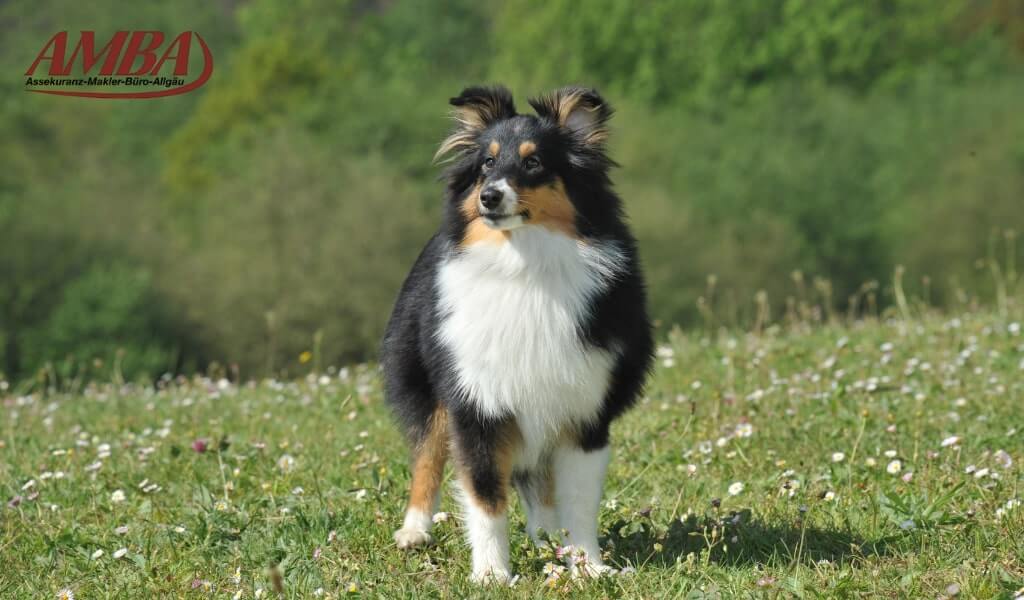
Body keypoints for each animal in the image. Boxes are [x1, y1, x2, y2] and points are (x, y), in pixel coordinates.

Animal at [380, 83, 651, 577]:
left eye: (534, 162)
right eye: (487, 163)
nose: (488, 196)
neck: (524, 265)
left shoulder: (584, 411)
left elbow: (579, 500)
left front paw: (587, 565)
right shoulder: (477, 403)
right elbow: (486, 496)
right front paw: (491, 574)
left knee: (540, 487)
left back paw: (548, 542)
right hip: (426, 387)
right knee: (427, 456)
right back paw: (414, 531)